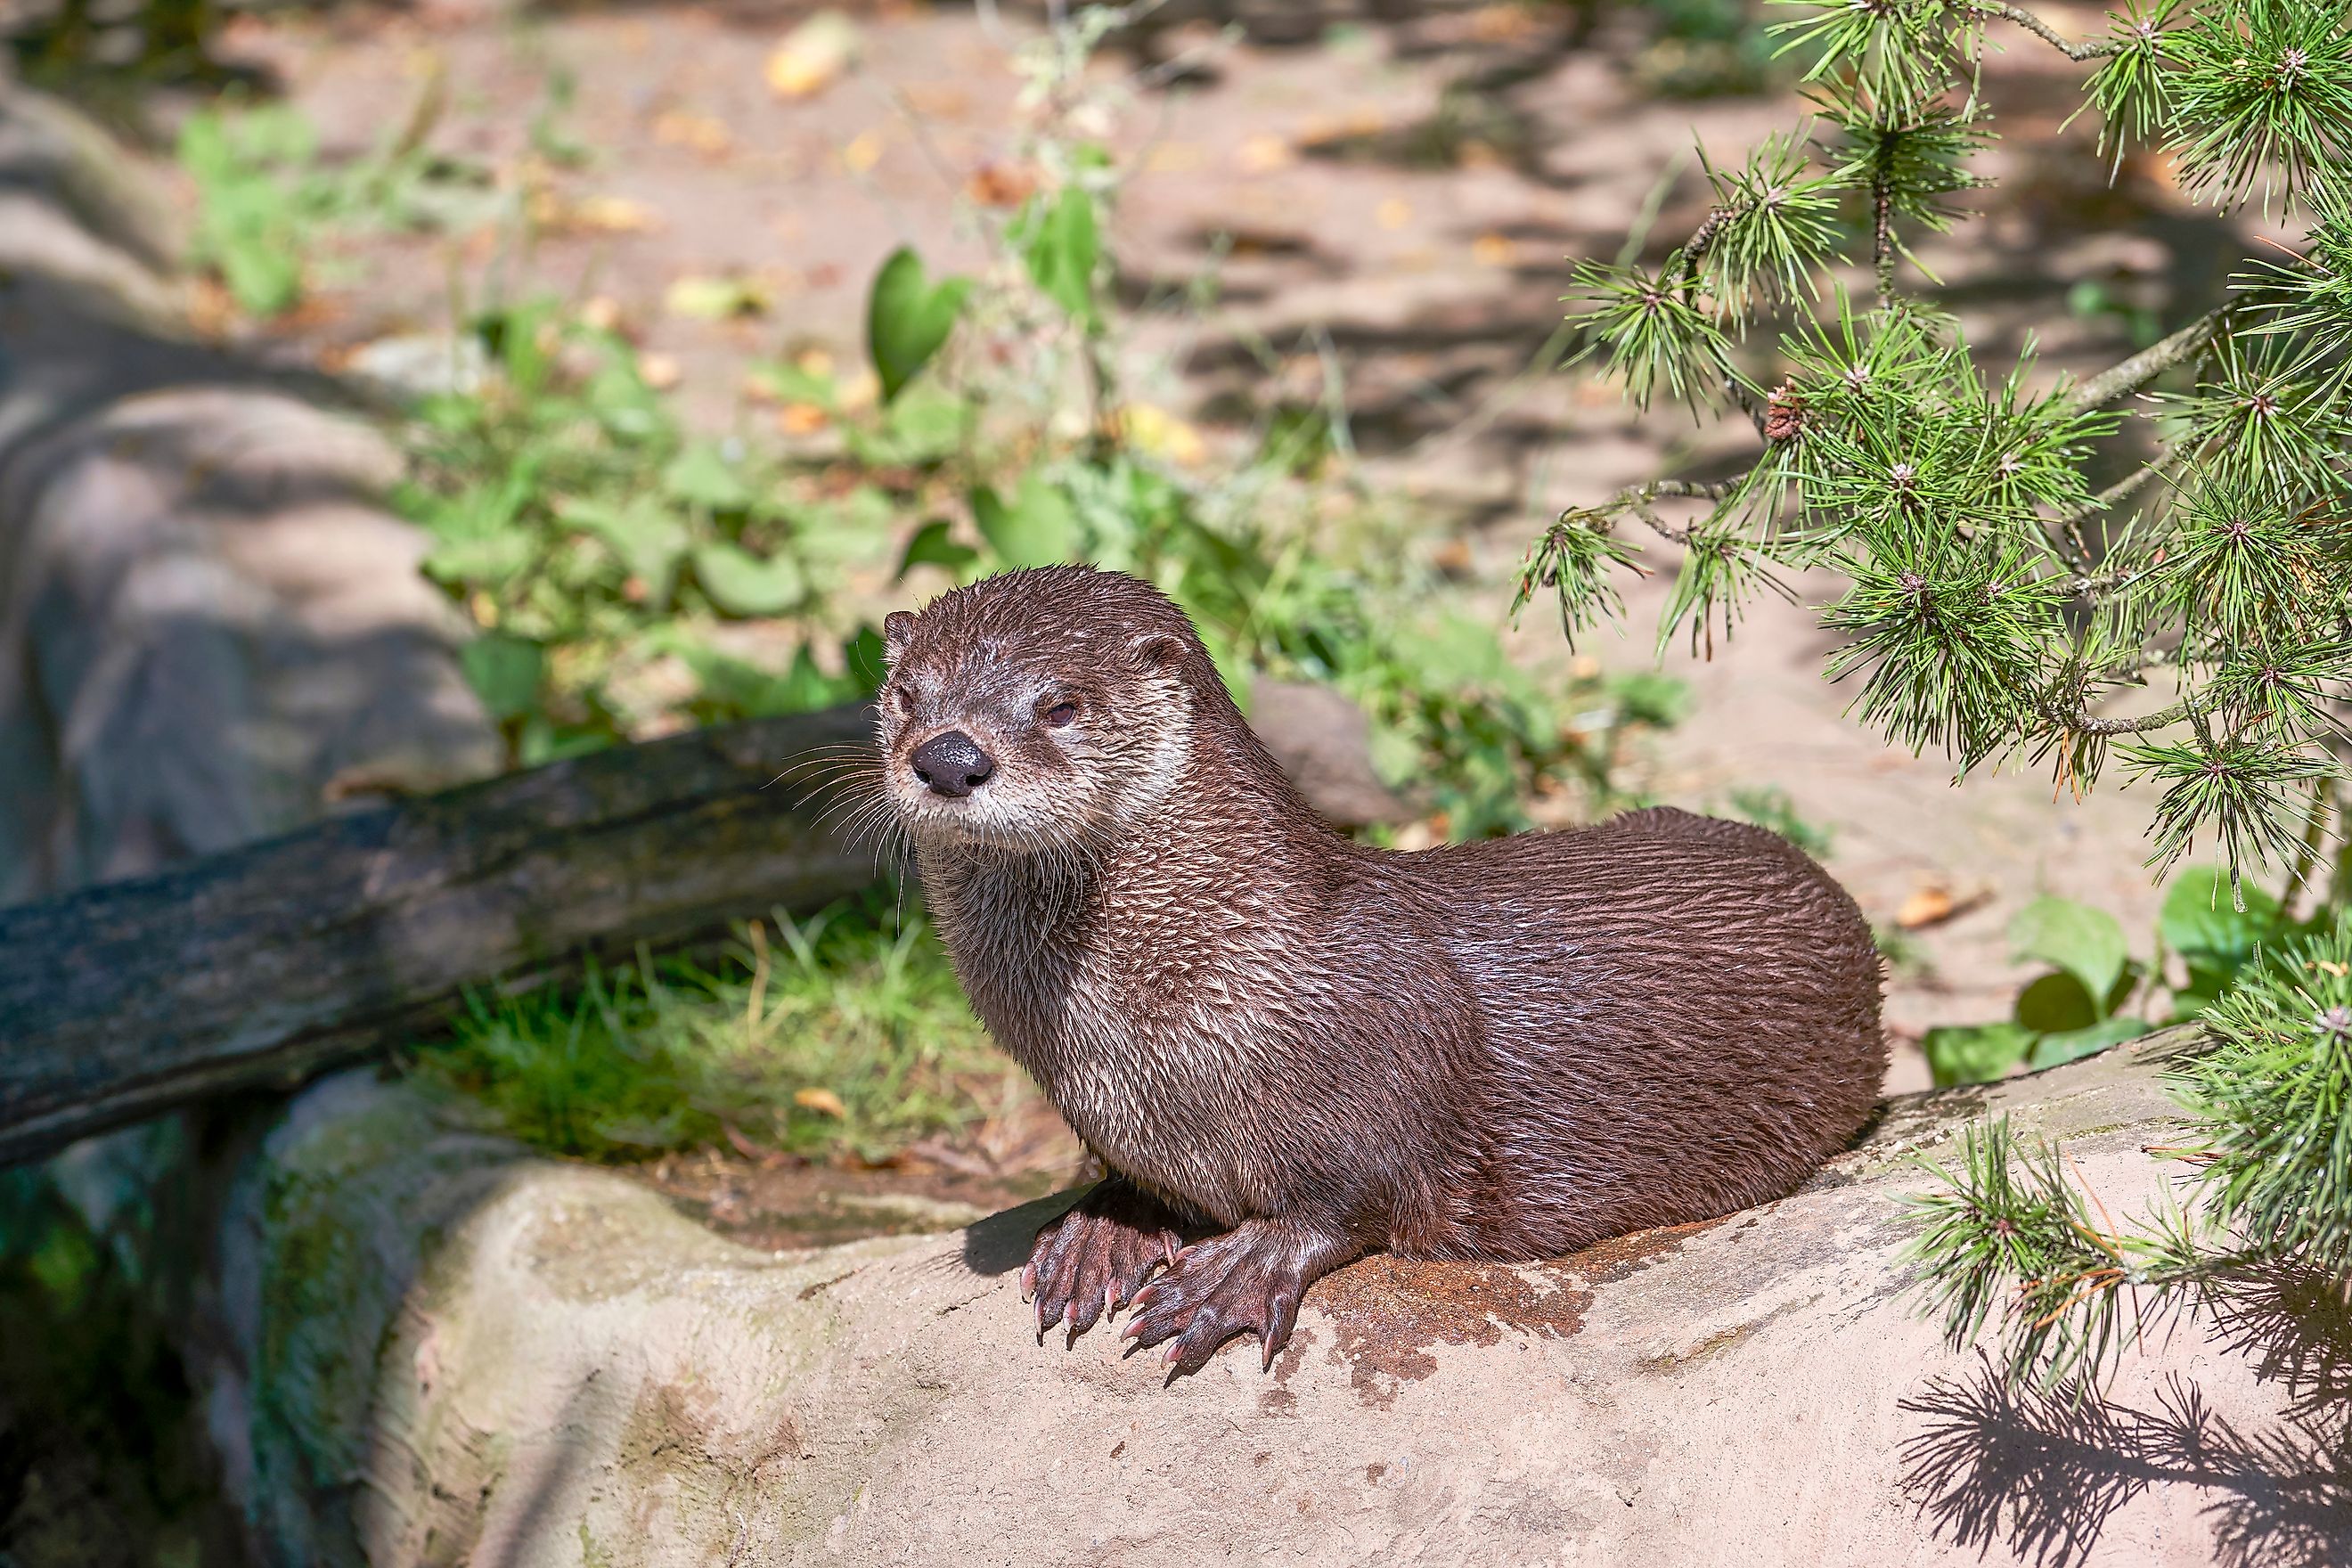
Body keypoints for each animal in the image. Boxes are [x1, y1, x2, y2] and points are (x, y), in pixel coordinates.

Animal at [874, 565, 1884, 1375]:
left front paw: (1236, 1269)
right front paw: (1105, 1228)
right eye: (908, 695)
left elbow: (1356, 1197)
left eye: (1060, 704)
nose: (948, 757)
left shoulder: (1382, 1058)